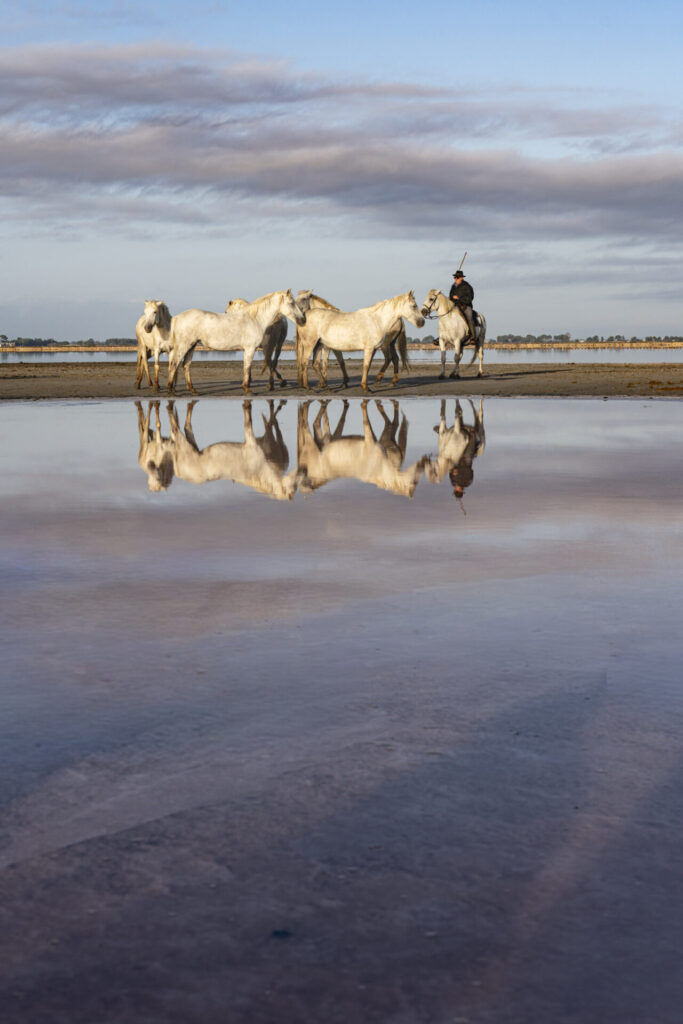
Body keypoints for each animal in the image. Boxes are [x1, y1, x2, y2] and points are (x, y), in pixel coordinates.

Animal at [167, 290, 306, 395]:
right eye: (292, 303)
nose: (303, 319)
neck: (255, 319)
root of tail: (177, 317)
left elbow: (247, 367)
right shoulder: (250, 349)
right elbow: (247, 367)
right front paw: (247, 389)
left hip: (192, 346)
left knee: (186, 365)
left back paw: (192, 390)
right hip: (185, 345)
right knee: (175, 363)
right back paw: (170, 389)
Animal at [297, 398, 427, 498]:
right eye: (415, 481)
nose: (423, 462)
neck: (381, 467)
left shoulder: (373, 439)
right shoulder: (369, 440)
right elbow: (365, 421)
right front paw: (365, 402)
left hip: (320, 442)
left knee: (313, 423)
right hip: (311, 445)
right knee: (306, 424)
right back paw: (309, 403)